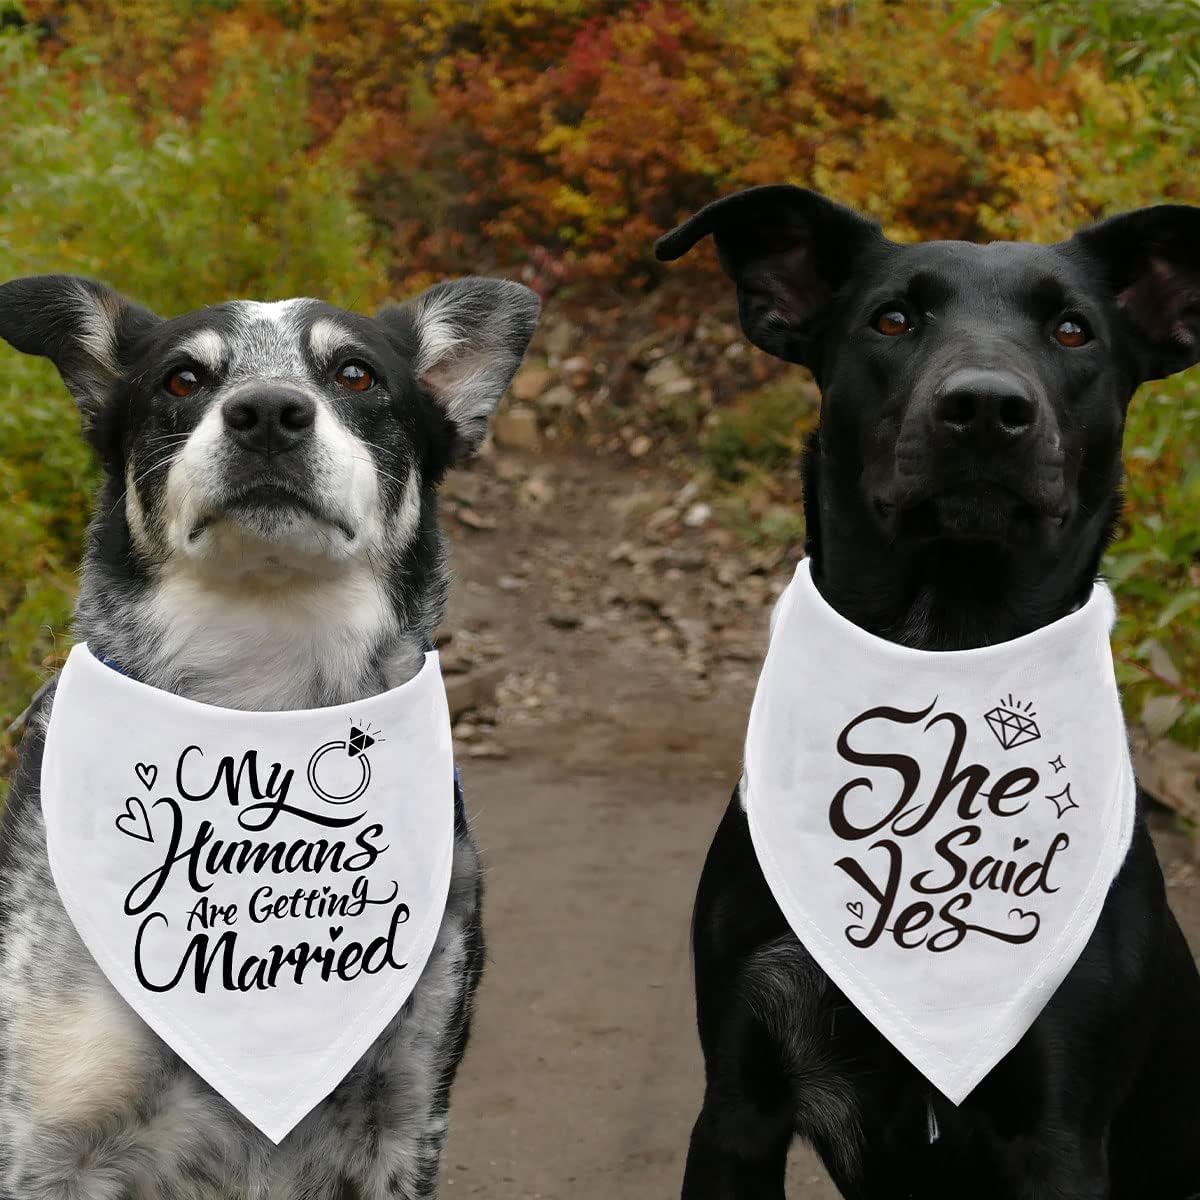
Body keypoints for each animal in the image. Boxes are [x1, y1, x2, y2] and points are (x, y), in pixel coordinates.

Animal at [0, 274, 540, 1200]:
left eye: (356, 373)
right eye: (183, 379)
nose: (267, 413)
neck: (263, 710)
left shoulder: (401, 1124)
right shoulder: (45, 1140)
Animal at [657, 182, 1200, 1195]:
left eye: (1073, 330)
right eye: (893, 319)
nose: (985, 407)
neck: (948, 640)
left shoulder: (1060, 1129)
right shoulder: (740, 1100)